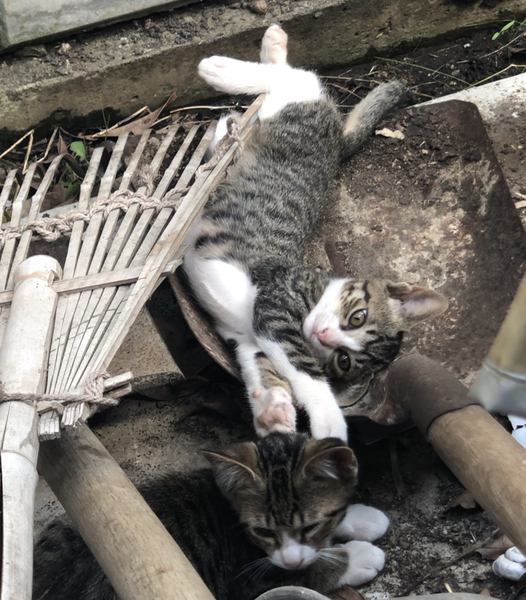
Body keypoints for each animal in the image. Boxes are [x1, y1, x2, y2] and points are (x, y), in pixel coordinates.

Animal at [33, 433, 390, 600]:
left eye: (311, 525)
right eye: (263, 531)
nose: (289, 560)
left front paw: (363, 519)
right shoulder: (245, 583)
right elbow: (309, 570)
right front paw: (358, 557)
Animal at [183, 25, 448, 442]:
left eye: (344, 360)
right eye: (357, 317)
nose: (322, 335)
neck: (317, 289)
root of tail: (337, 140)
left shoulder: (249, 334)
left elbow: (264, 366)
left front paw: (274, 409)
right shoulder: (275, 305)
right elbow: (304, 370)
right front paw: (330, 424)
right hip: (295, 104)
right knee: (294, 76)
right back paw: (224, 67)